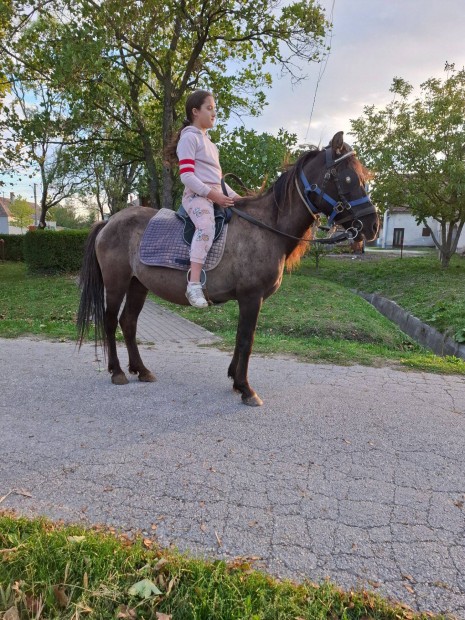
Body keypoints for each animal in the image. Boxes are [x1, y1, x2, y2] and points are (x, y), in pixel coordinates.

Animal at [78, 132, 378, 406]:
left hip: (138, 284)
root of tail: (108, 222)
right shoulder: (251, 298)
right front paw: (246, 388)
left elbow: (239, 338)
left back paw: (141, 370)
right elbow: (247, 339)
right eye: (349, 178)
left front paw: (235, 379)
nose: (372, 226)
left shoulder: (248, 300)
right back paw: (117, 371)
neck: (266, 228)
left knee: (128, 322)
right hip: (116, 283)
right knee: (109, 320)